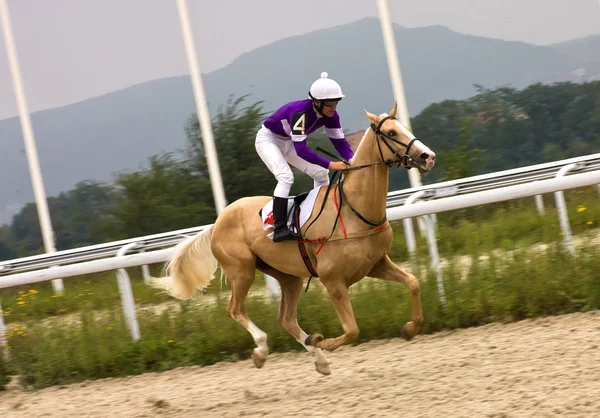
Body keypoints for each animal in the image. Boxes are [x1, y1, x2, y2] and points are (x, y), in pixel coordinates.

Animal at [154, 102, 436, 376]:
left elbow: (413, 283)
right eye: (391, 133)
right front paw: (324, 341)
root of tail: (217, 223)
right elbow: (352, 329)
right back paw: (262, 351)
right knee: (235, 309)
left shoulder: (376, 264)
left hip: (288, 276)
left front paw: (410, 328)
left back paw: (319, 360)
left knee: (286, 318)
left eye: (405, 127)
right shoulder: (333, 281)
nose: (428, 157)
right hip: (241, 270)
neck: (354, 209)